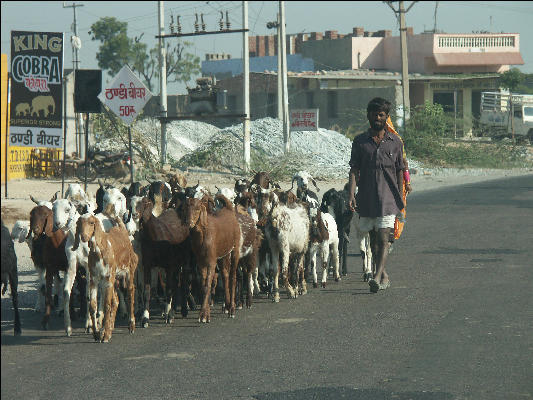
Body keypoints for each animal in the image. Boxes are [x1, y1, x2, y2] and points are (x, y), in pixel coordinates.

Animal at [70, 214, 137, 342]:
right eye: (79, 223)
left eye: (91, 223)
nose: (84, 236)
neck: (99, 253)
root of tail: (122, 228)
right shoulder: (94, 280)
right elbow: (93, 306)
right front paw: (97, 334)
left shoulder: (108, 279)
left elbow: (106, 305)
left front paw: (104, 336)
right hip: (115, 279)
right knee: (116, 300)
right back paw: (110, 329)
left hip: (129, 271)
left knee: (130, 293)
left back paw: (131, 326)